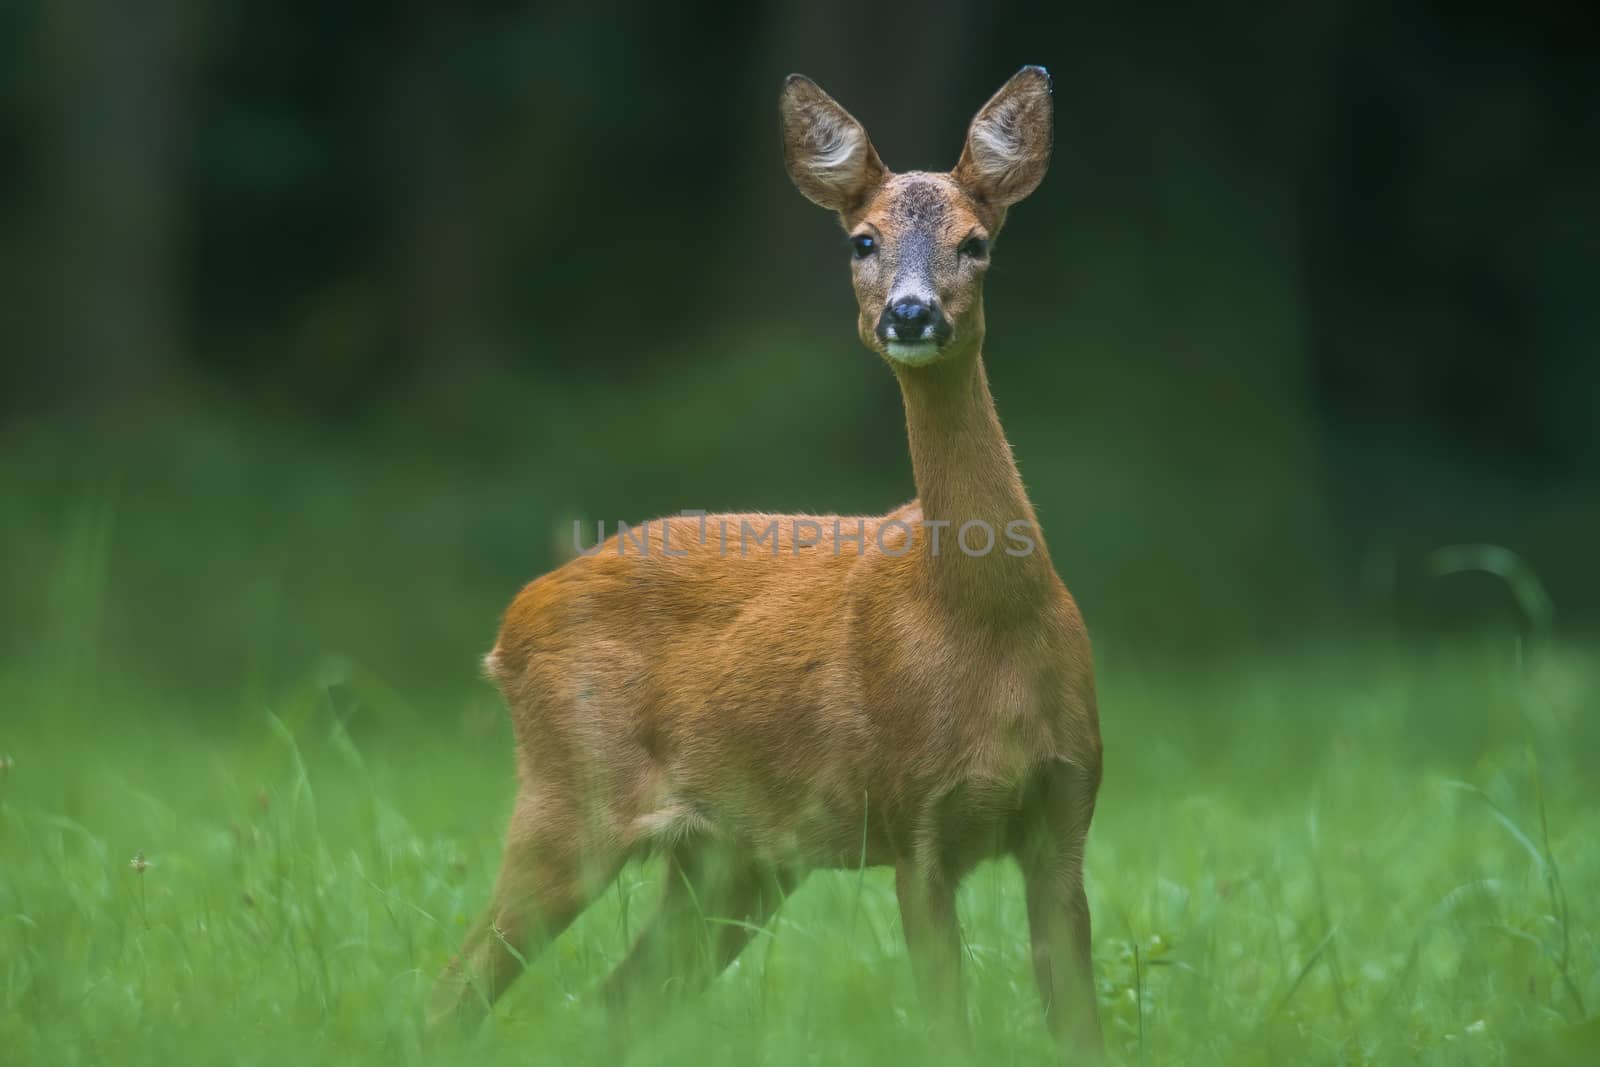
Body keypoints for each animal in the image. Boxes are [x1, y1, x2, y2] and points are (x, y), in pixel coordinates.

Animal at [432, 68, 1107, 1062]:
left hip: (731, 857)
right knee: (457, 986)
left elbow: (1079, 1021)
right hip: (572, 799)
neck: (983, 621)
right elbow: (946, 1022)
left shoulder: (1068, 811)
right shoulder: (912, 817)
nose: (911, 312)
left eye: (975, 242)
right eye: (863, 241)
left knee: (613, 996)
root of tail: (508, 629)